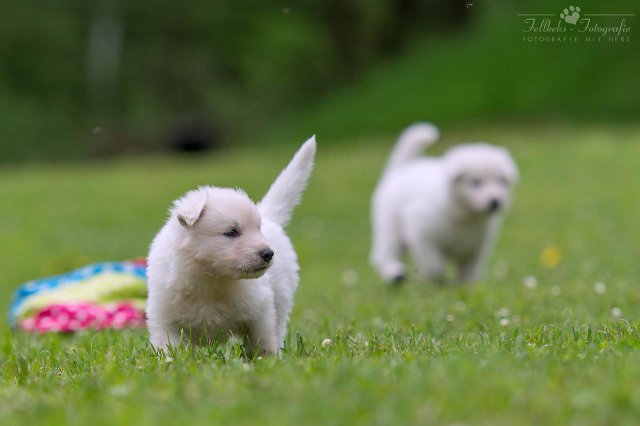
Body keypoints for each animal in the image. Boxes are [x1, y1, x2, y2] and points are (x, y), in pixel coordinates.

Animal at [146, 137, 316, 356]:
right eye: (231, 232)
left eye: (258, 228)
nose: (268, 253)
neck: (211, 279)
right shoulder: (165, 319)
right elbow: (168, 348)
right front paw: (170, 362)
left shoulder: (260, 310)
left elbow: (263, 341)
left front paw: (269, 360)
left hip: (282, 297)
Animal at [372, 122, 516, 282]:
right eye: (475, 182)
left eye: (501, 181)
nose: (495, 202)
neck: (464, 216)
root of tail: (403, 168)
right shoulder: (422, 234)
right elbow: (434, 264)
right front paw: (435, 280)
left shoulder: (475, 248)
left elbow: (469, 271)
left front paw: (466, 284)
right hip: (390, 225)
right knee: (385, 253)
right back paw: (395, 274)